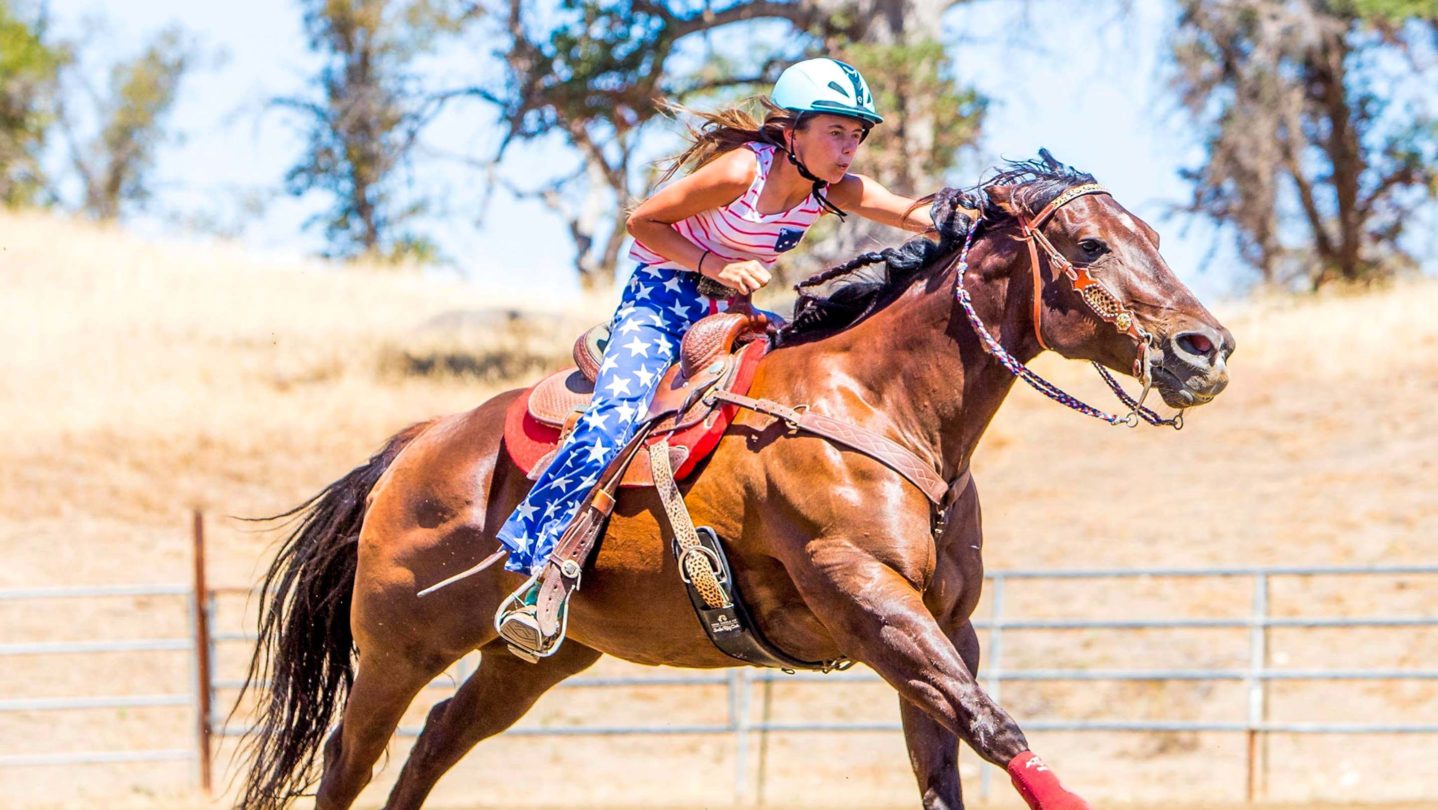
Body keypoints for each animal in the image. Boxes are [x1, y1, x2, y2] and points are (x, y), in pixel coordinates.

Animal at [238, 153, 1236, 810]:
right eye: (1090, 244)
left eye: (1152, 235)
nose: (1207, 347)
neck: (884, 407)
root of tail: (417, 447)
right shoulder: (868, 602)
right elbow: (997, 731)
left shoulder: (946, 626)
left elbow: (946, 761)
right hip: (397, 649)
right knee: (350, 758)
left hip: (531, 661)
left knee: (433, 746)